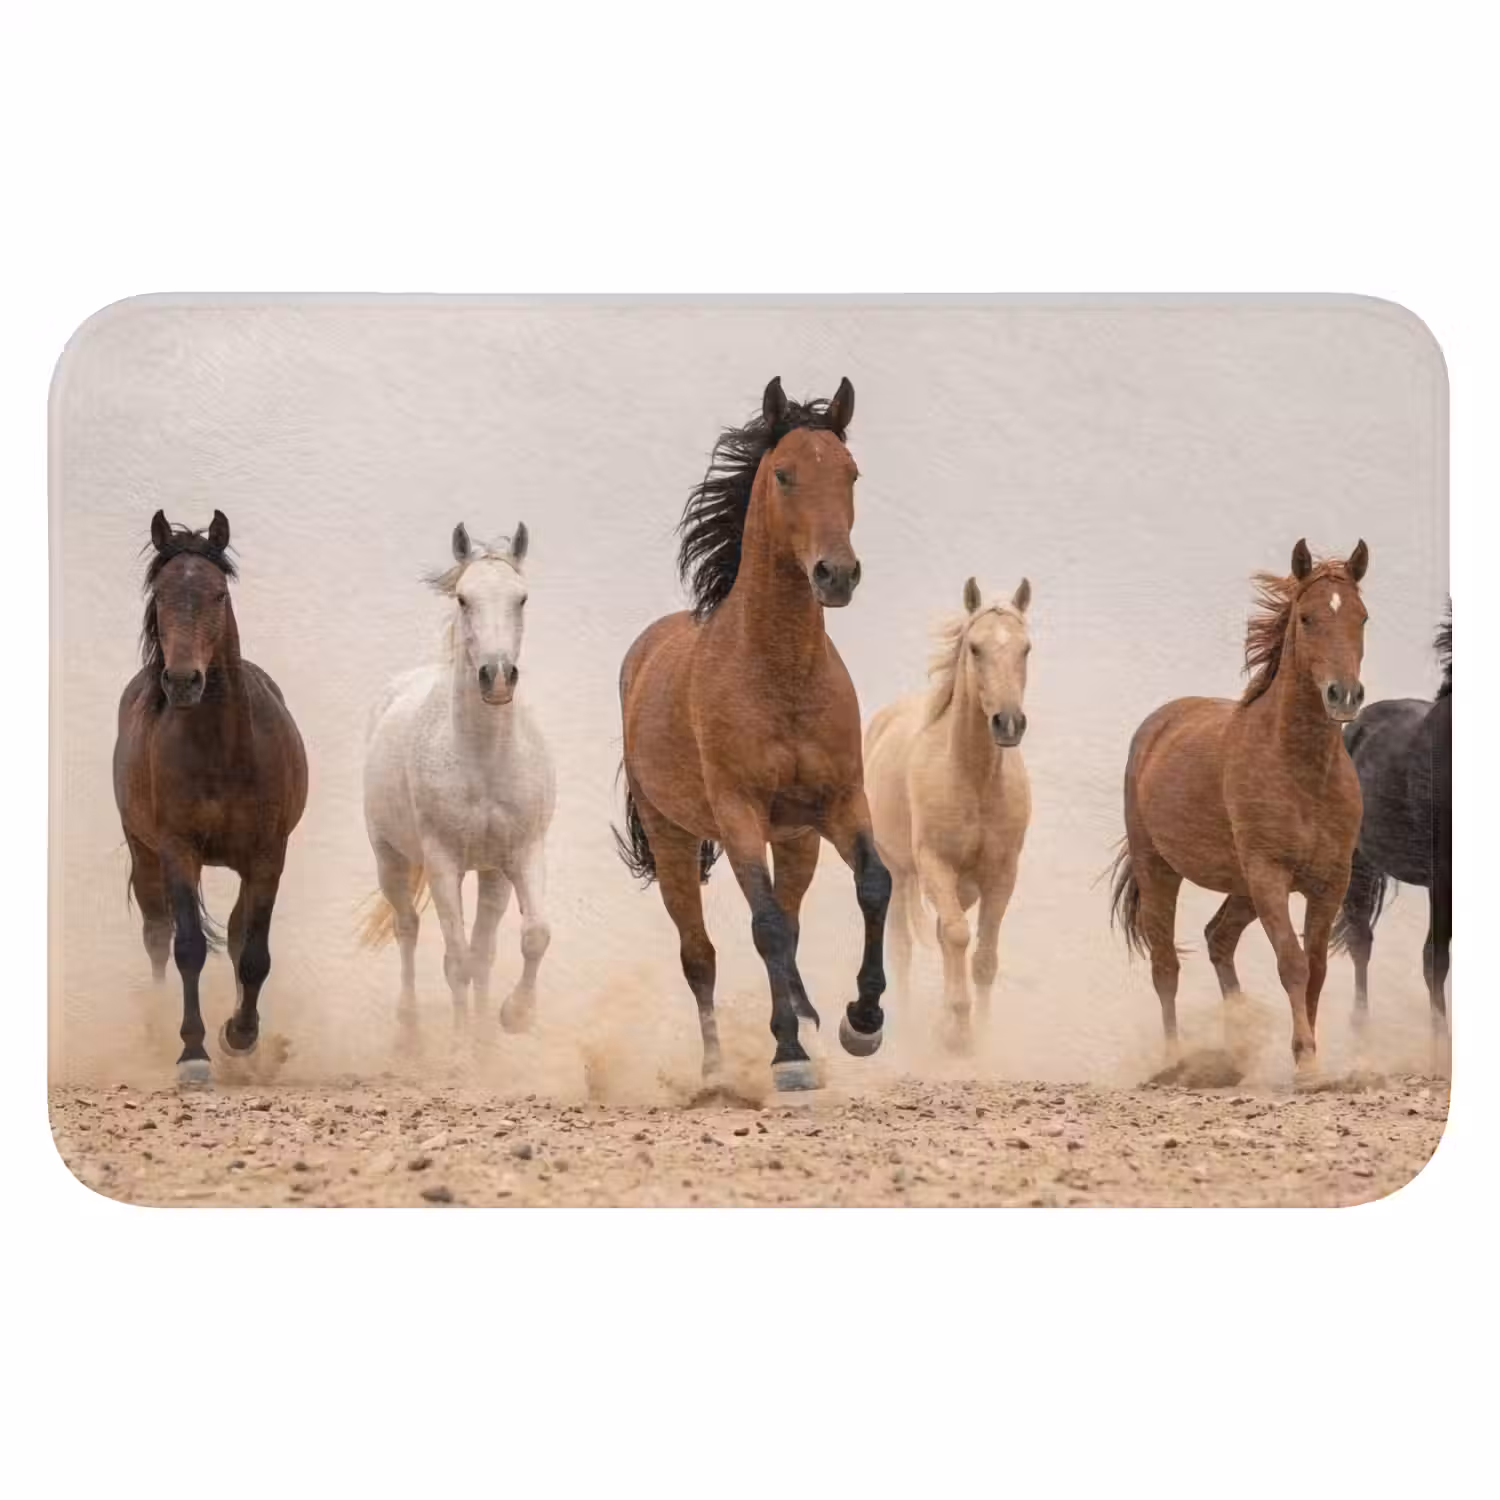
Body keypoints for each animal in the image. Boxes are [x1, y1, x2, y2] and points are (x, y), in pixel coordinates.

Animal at [113, 509, 308, 1084]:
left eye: (218, 593)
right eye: (160, 593)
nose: (182, 681)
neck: (222, 750)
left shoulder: (267, 856)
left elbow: (255, 953)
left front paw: (240, 1037)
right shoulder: (178, 851)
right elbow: (188, 948)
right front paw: (193, 1053)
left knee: (241, 933)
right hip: (144, 854)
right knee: (157, 934)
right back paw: (158, 1027)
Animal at [360, 522, 554, 1036]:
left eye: (522, 598)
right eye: (464, 599)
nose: (498, 677)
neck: (483, 761)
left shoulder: (519, 854)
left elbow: (531, 937)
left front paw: (512, 1018)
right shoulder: (444, 863)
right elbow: (457, 963)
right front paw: (461, 1048)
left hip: (487, 873)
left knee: (482, 951)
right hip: (391, 859)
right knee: (408, 928)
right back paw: (410, 1032)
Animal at [614, 376, 890, 1091]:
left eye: (851, 473)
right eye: (786, 474)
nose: (836, 575)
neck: (780, 672)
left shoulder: (840, 804)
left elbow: (874, 886)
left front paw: (861, 1024)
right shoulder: (737, 813)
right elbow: (763, 926)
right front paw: (788, 1058)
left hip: (796, 841)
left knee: (789, 923)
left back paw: (812, 1023)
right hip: (674, 839)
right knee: (701, 954)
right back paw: (718, 1070)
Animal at [864, 575, 1034, 1052]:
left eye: (1025, 648)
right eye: (975, 648)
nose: (1008, 723)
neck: (972, 779)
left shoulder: (1001, 875)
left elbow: (984, 957)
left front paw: (979, 1032)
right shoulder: (935, 865)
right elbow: (956, 936)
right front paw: (957, 1031)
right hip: (900, 872)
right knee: (902, 947)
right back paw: (904, 1022)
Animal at [1108, 538, 1370, 1076]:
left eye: (1361, 617)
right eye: (1307, 618)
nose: (1345, 695)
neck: (1300, 769)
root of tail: (1157, 725)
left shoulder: (1330, 881)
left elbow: (1316, 967)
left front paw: (1311, 1059)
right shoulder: (1269, 874)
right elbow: (1292, 962)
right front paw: (1306, 1061)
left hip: (1241, 887)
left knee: (1218, 938)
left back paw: (1235, 1050)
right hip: (1160, 868)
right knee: (1166, 965)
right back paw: (1175, 1061)